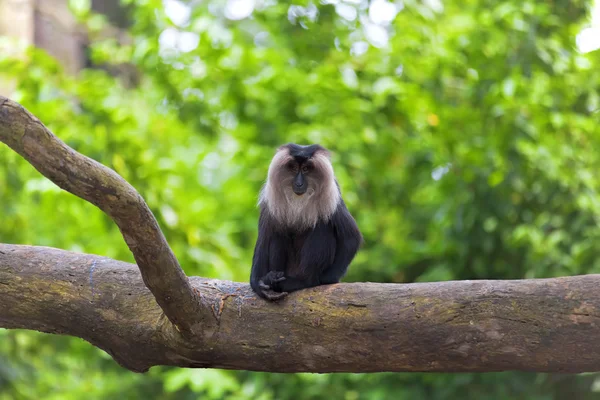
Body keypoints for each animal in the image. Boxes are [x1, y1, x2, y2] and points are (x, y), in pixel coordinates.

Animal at [248, 144, 360, 300]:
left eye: (306, 169)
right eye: (294, 168)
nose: (299, 183)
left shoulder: (333, 196)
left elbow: (351, 237)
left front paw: (326, 279)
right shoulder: (269, 201)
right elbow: (265, 238)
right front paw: (258, 284)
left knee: (322, 225)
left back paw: (303, 281)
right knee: (278, 233)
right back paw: (273, 278)